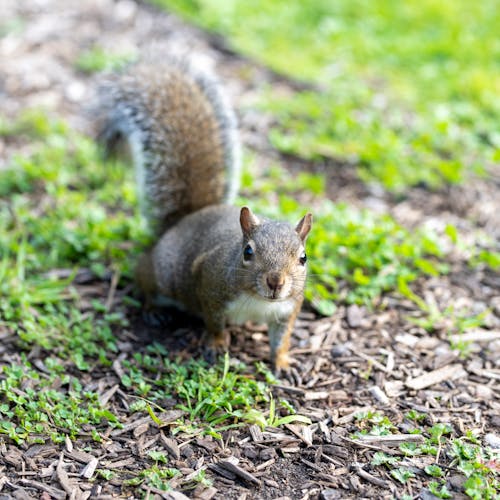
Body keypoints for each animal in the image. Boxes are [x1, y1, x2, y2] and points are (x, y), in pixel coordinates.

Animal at [95, 58, 310, 372]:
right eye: (247, 252)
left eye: (303, 258)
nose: (275, 282)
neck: (260, 301)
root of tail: (182, 221)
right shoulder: (209, 285)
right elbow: (214, 324)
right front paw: (217, 345)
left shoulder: (288, 309)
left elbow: (281, 338)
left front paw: (282, 362)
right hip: (161, 274)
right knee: (143, 280)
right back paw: (154, 310)